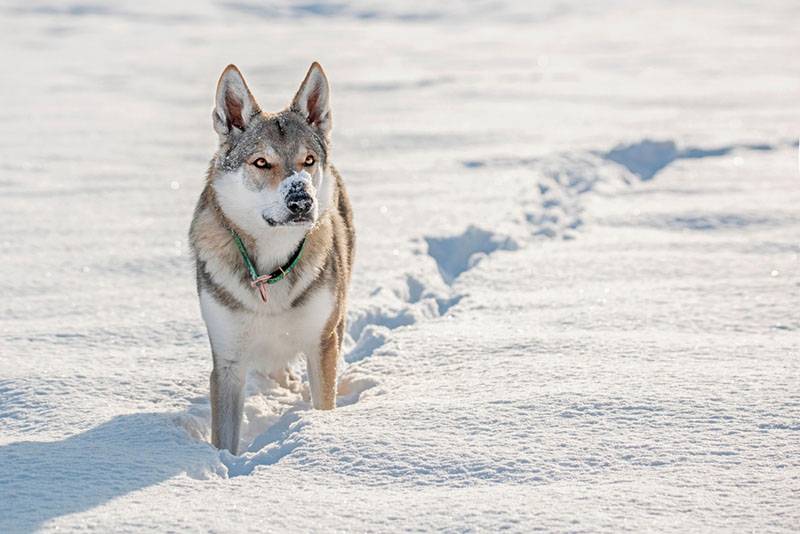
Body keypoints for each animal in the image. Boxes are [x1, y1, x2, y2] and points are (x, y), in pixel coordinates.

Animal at [191, 63, 354, 456]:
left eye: (308, 161)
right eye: (262, 162)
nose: (301, 201)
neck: (272, 267)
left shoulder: (321, 344)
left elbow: (323, 404)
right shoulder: (228, 362)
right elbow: (225, 441)